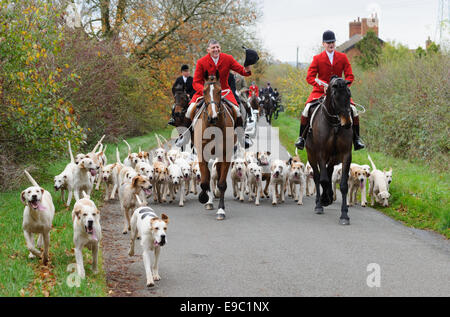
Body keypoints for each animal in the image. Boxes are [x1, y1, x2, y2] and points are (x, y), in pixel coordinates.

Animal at [192, 70, 237, 218]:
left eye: (219, 91)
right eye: (204, 91)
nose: (213, 117)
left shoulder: (225, 155)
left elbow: (222, 183)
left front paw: (221, 210)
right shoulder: (202, 154)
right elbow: (204, 181)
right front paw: (204, 198)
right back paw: (209, 200)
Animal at [306, 76, 356, 225]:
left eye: (349, 94)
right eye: (336, 96)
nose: (347, 123)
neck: (334, 124)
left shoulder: (345, 155)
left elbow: (343, 185)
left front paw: (344, 214)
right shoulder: (321, 154)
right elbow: (322, 179)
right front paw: (324, 200)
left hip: (333, 158)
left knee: (328, 172)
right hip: (312, 156)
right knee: (318, 177)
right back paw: (319, 202)